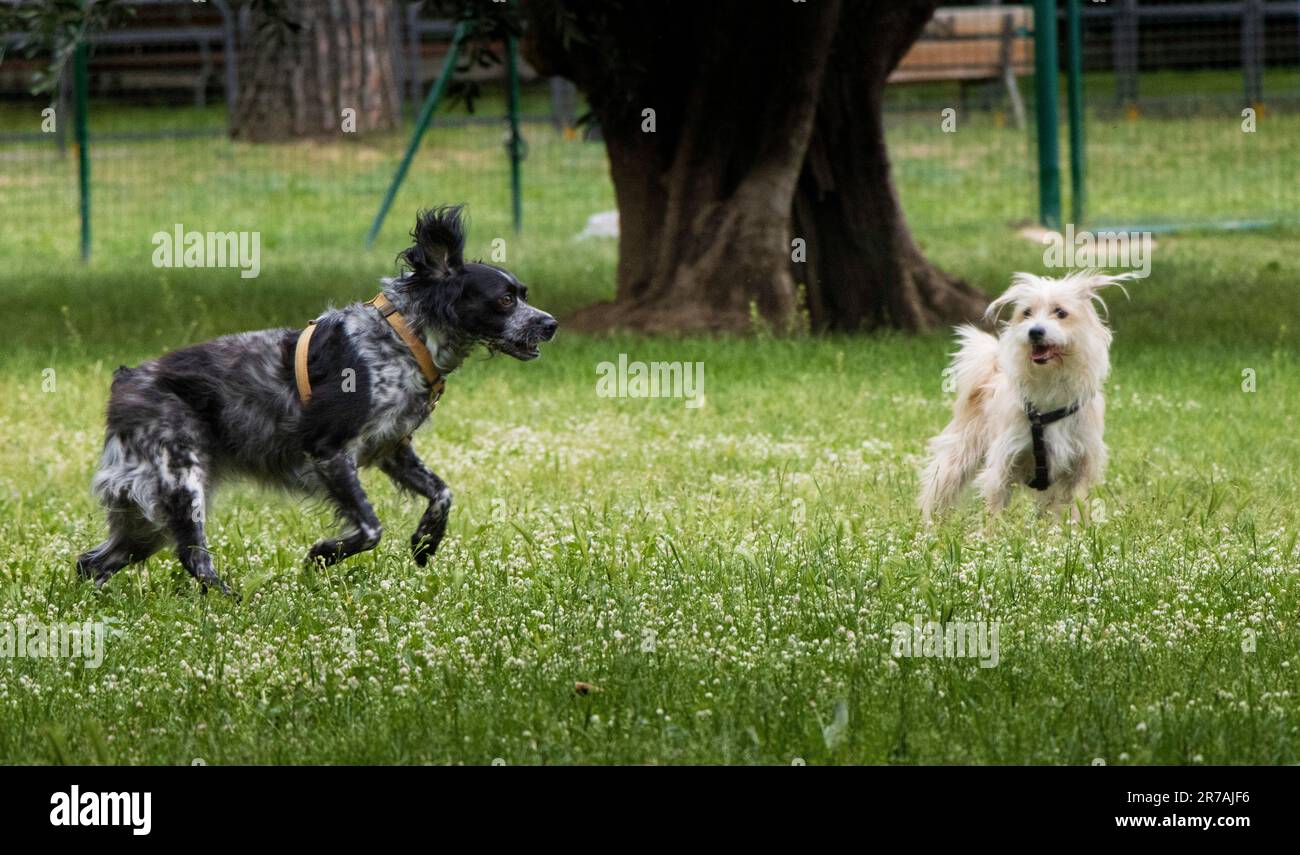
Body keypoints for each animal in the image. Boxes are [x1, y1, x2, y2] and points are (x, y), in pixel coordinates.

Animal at [76, 206, 553, 592]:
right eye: (505, 300)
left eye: (524, 294)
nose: (550, 324)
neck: (407, 338)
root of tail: (126, 381)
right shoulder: (328, 451)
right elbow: (371, 527)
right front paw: (325, 554)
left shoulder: (391, 449)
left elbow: (443, 494)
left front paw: (424, 543)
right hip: (180, 482)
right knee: (192, 557)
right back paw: (233, 601)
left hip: (147, 515)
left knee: (91, 562)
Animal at [920, 270, 1133, 519]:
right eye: (1026, 313)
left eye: (1061, 313)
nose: (1035, 331)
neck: (1049, 385)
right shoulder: (1003, 461)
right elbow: (994, 509)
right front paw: (992, 531)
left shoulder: (1082, 464)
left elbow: (1077, 506)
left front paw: (1075, 530)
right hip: (960, 454)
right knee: (940, 488)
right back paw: (930, 525)